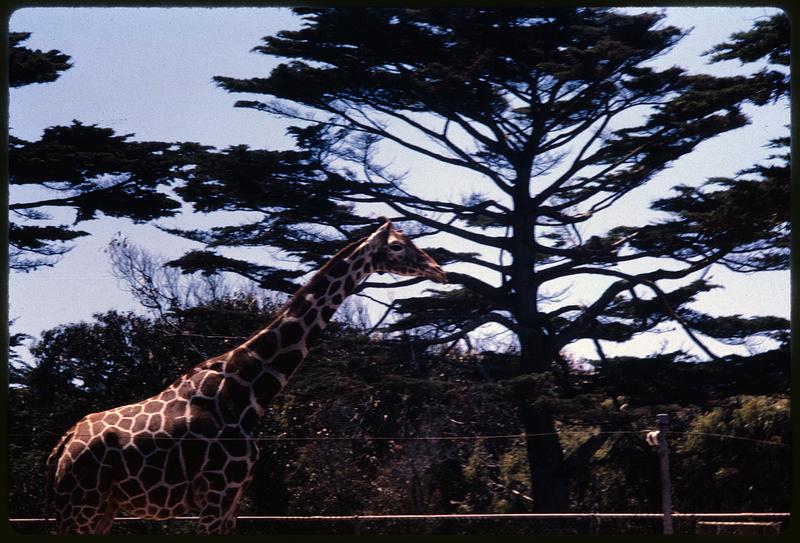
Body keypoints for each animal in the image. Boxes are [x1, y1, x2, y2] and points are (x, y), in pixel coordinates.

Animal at [45, 219, 444, 532]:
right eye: (398, 246)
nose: (438, 268)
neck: (248, 390)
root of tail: (60, 449)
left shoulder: (234, 498)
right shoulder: (216, 494)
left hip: (100, 508)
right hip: (81, 506)